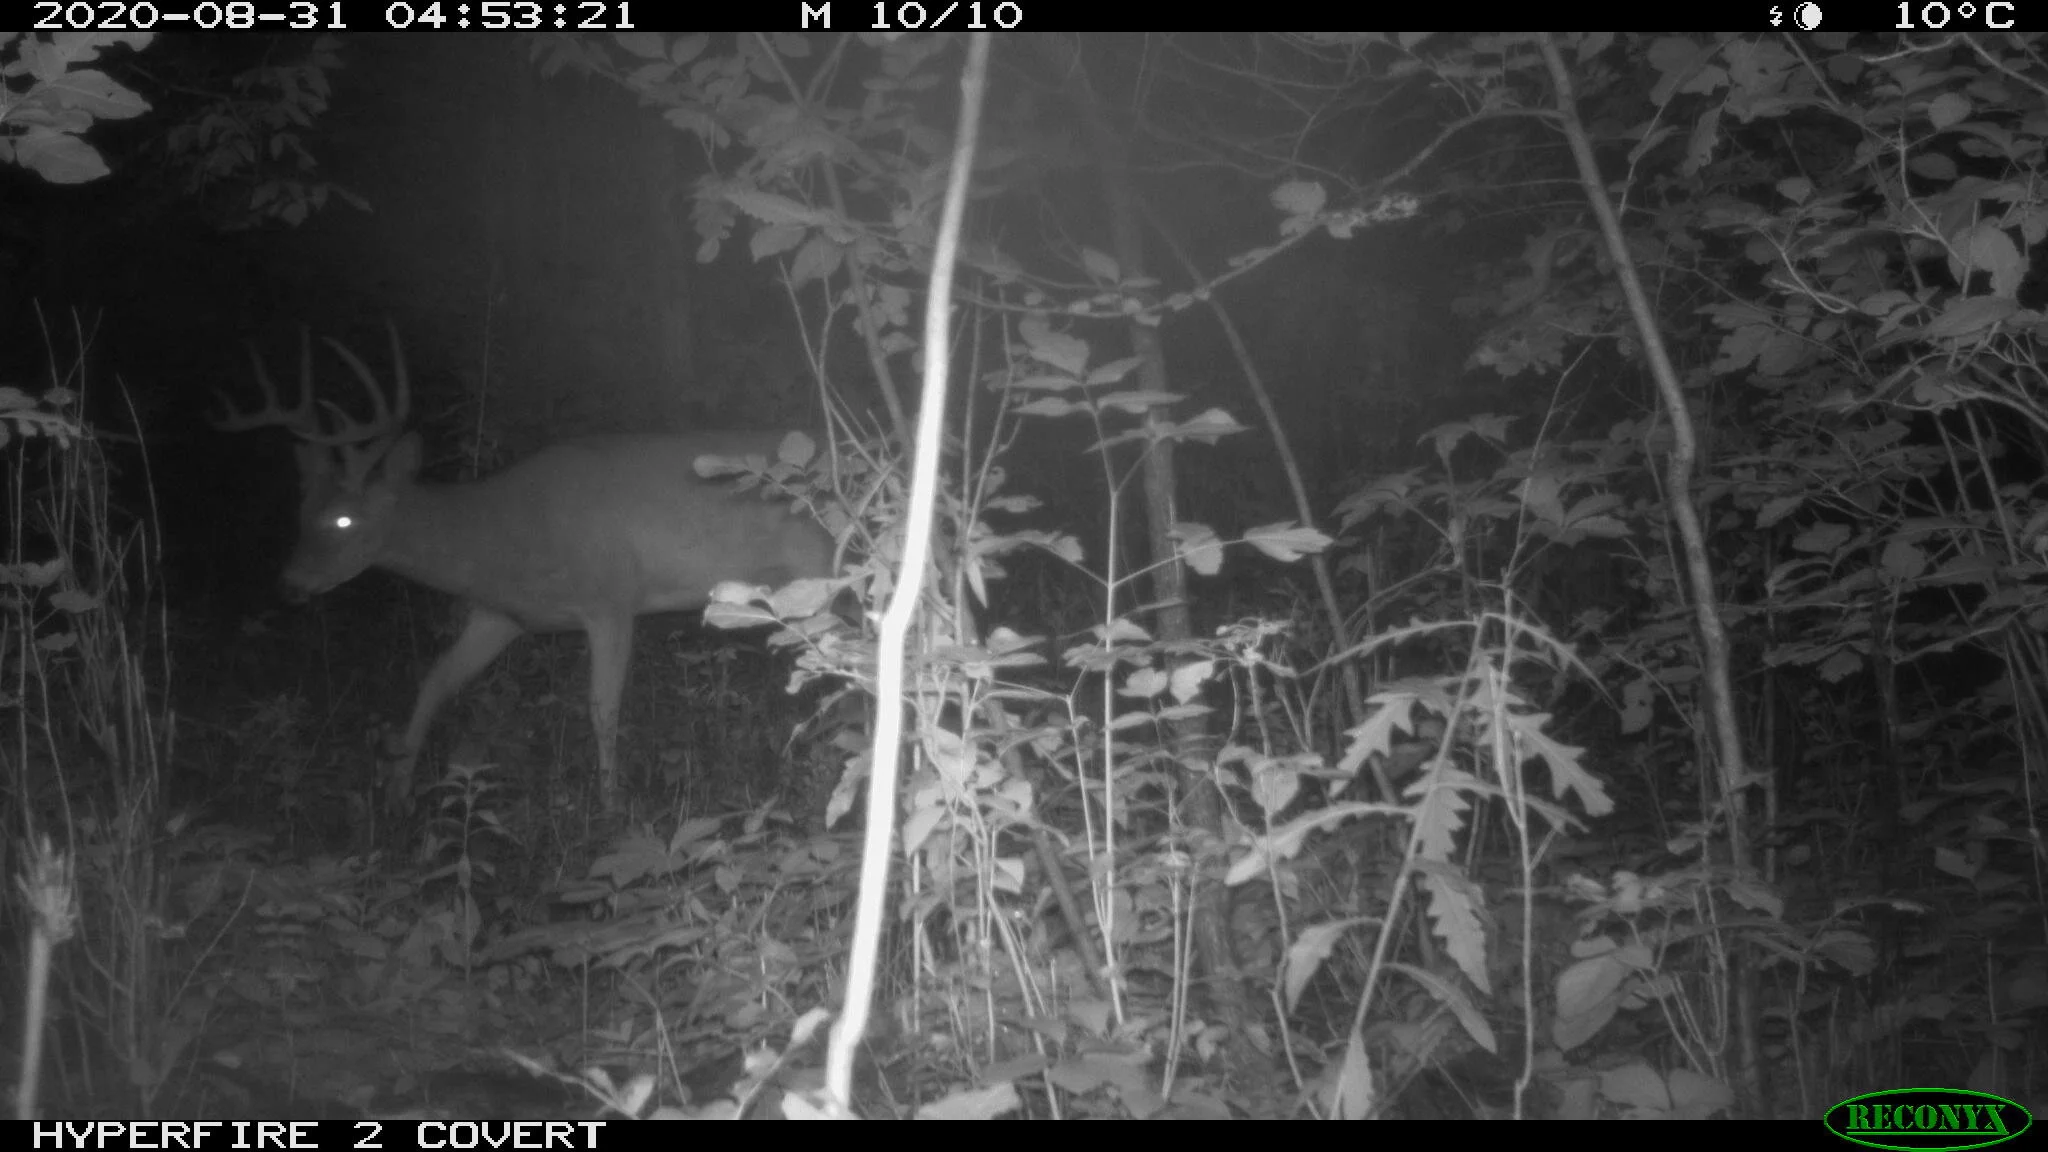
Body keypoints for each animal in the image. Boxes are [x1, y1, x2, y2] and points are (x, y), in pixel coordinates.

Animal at [215, 326, 837, 814]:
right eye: (300, 512)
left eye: (343, 519)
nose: (289, 586)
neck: (504, 539)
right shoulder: (500, 615)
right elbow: (435, 680)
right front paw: (397, 790)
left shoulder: (611, 597)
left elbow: (602, 707)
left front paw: (610, 806)